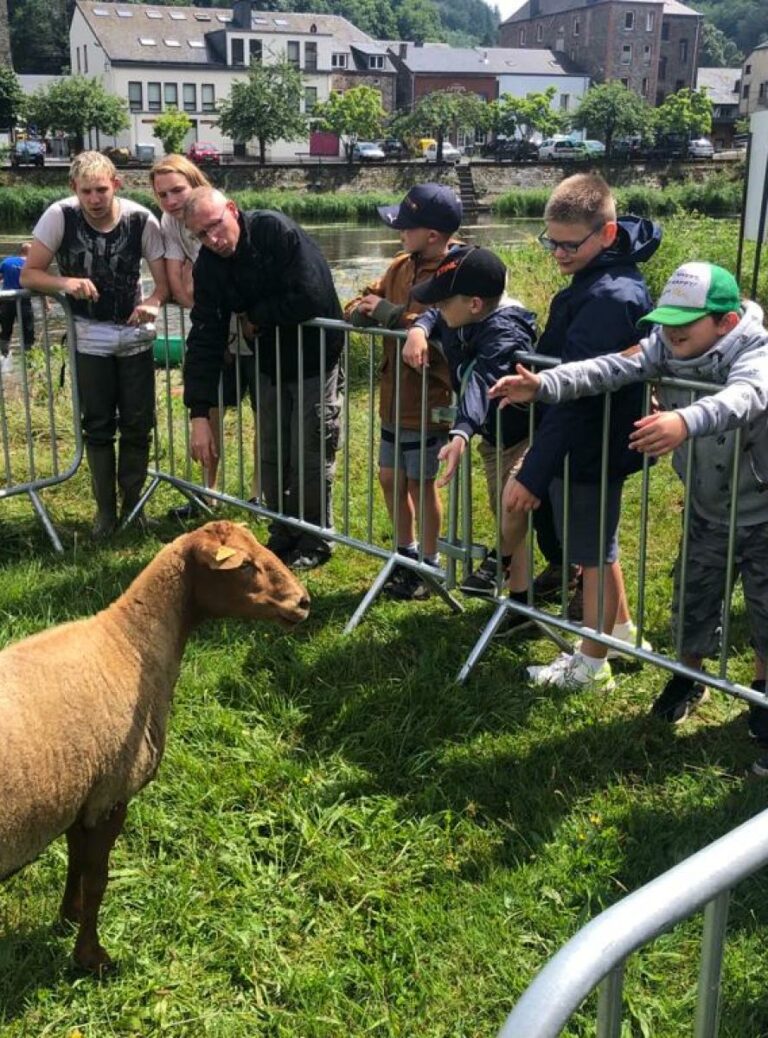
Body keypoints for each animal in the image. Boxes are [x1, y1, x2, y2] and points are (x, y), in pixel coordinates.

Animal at [0, 523, 309, 975]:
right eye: (245, 565)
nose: (304, 602)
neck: (130, 642)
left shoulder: (84, 794)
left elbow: (76, 861)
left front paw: (69, 916)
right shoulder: (111, 794)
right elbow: (98, 879)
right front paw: (92, 957)